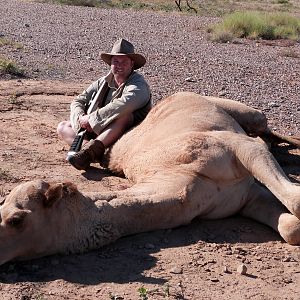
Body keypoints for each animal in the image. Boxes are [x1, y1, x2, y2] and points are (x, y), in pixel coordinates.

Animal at [0, 91, 300, 264]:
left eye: (16, 219)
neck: (181, 180)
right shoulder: (246, 197)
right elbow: (291, 228)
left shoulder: (235, 148)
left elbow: (293, 199)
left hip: (243, 113)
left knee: (261, 127)